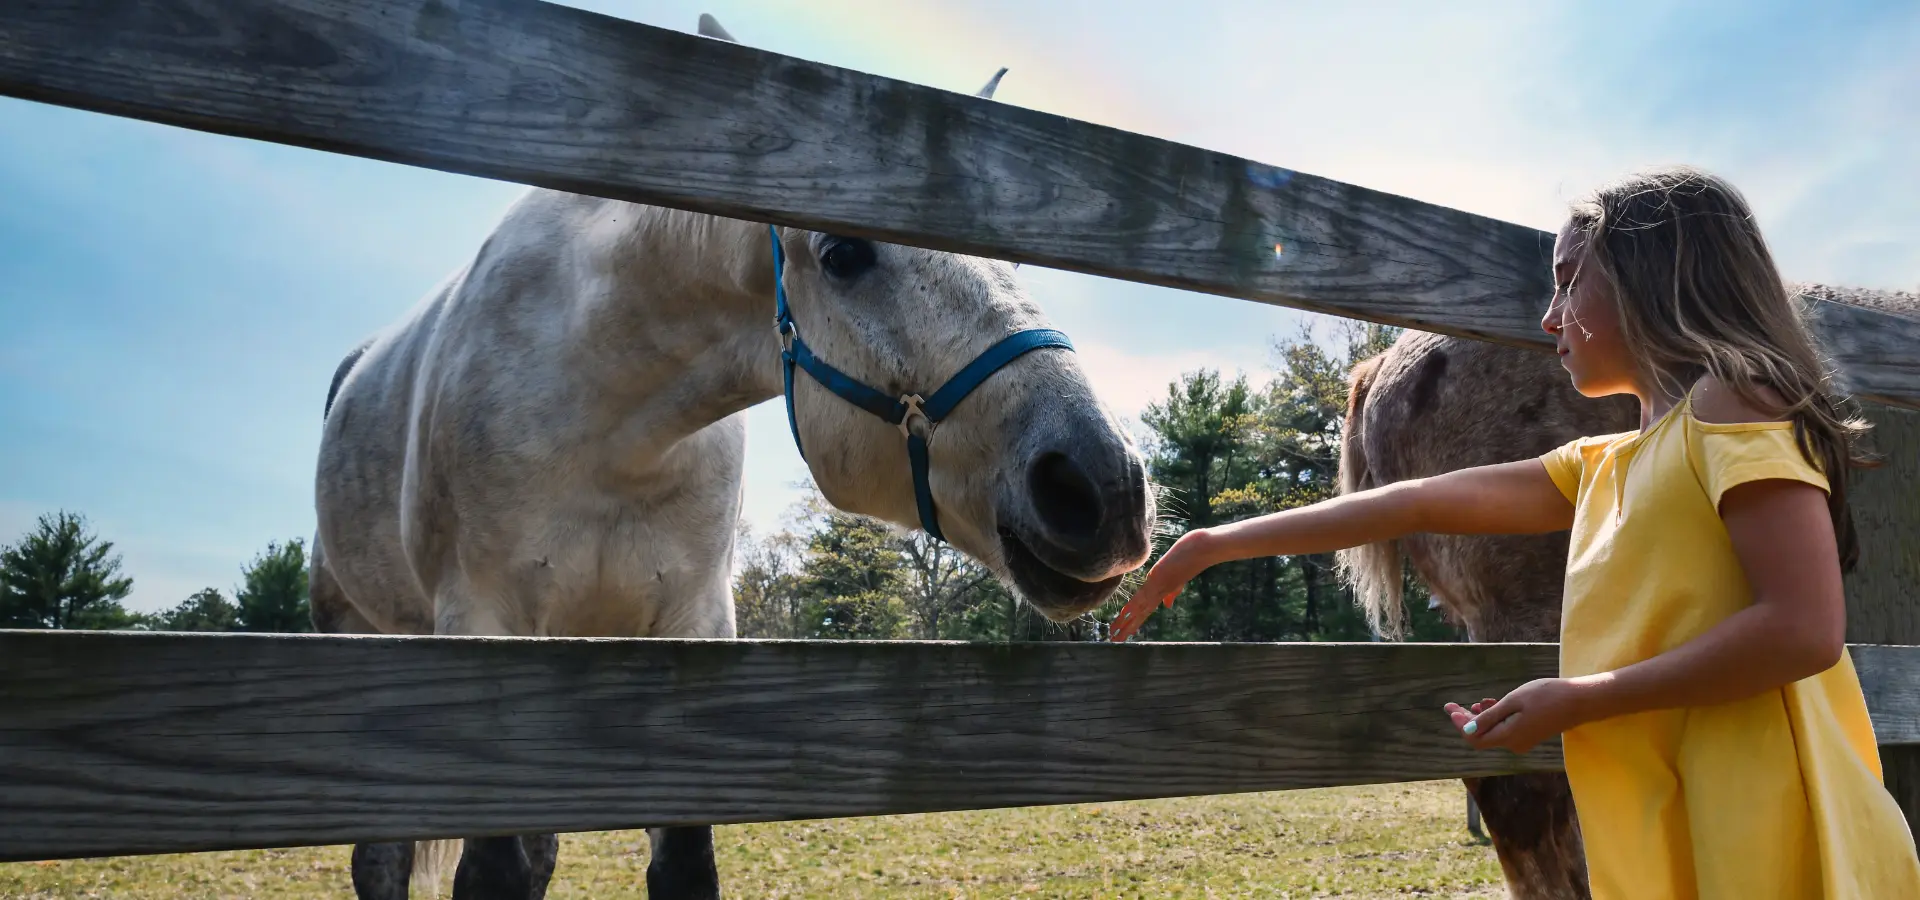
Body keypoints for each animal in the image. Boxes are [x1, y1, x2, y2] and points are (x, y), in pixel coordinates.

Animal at [312, 14, 1144, 898]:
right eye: (843, 252)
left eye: (1011, 256)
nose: (1105, 485)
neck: (610, 428)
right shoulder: (481, 628)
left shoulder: (696, 626)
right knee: (383, 859)